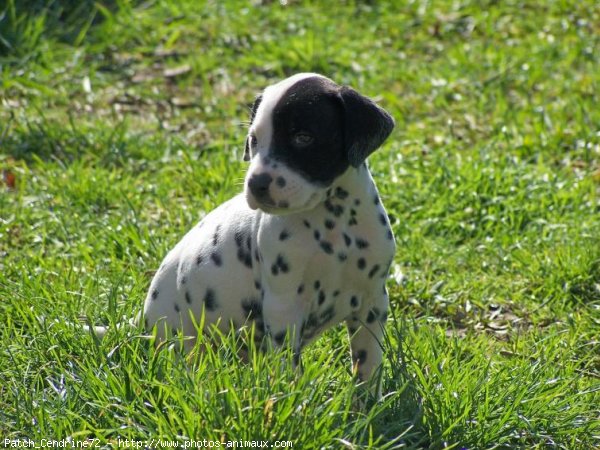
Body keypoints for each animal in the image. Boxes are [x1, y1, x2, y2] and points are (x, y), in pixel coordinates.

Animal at [141, 73, 396, 394]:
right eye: (254, 141)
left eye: (303, 138)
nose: (256, 184)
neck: (331, 225)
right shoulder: (283, 307)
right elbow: (288, 367)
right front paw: (294, 399)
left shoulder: (372, 303)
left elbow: (367, 361)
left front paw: (367, 402)